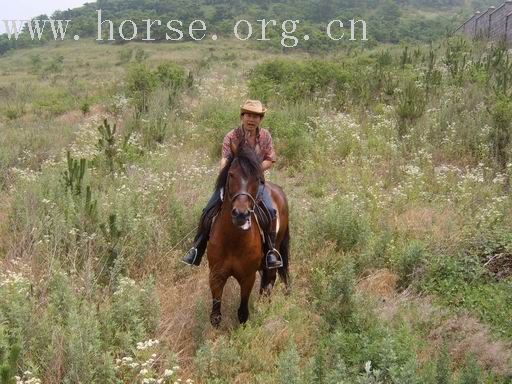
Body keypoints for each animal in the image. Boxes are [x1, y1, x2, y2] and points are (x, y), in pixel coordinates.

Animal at [207, 144, 288, 328]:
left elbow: (243, 313)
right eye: (231, 174)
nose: (241, 214)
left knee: (270, 280)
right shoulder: (216, 275)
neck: (232, 240)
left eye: (257, 178)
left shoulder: (247, 277)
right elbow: (215, 316)